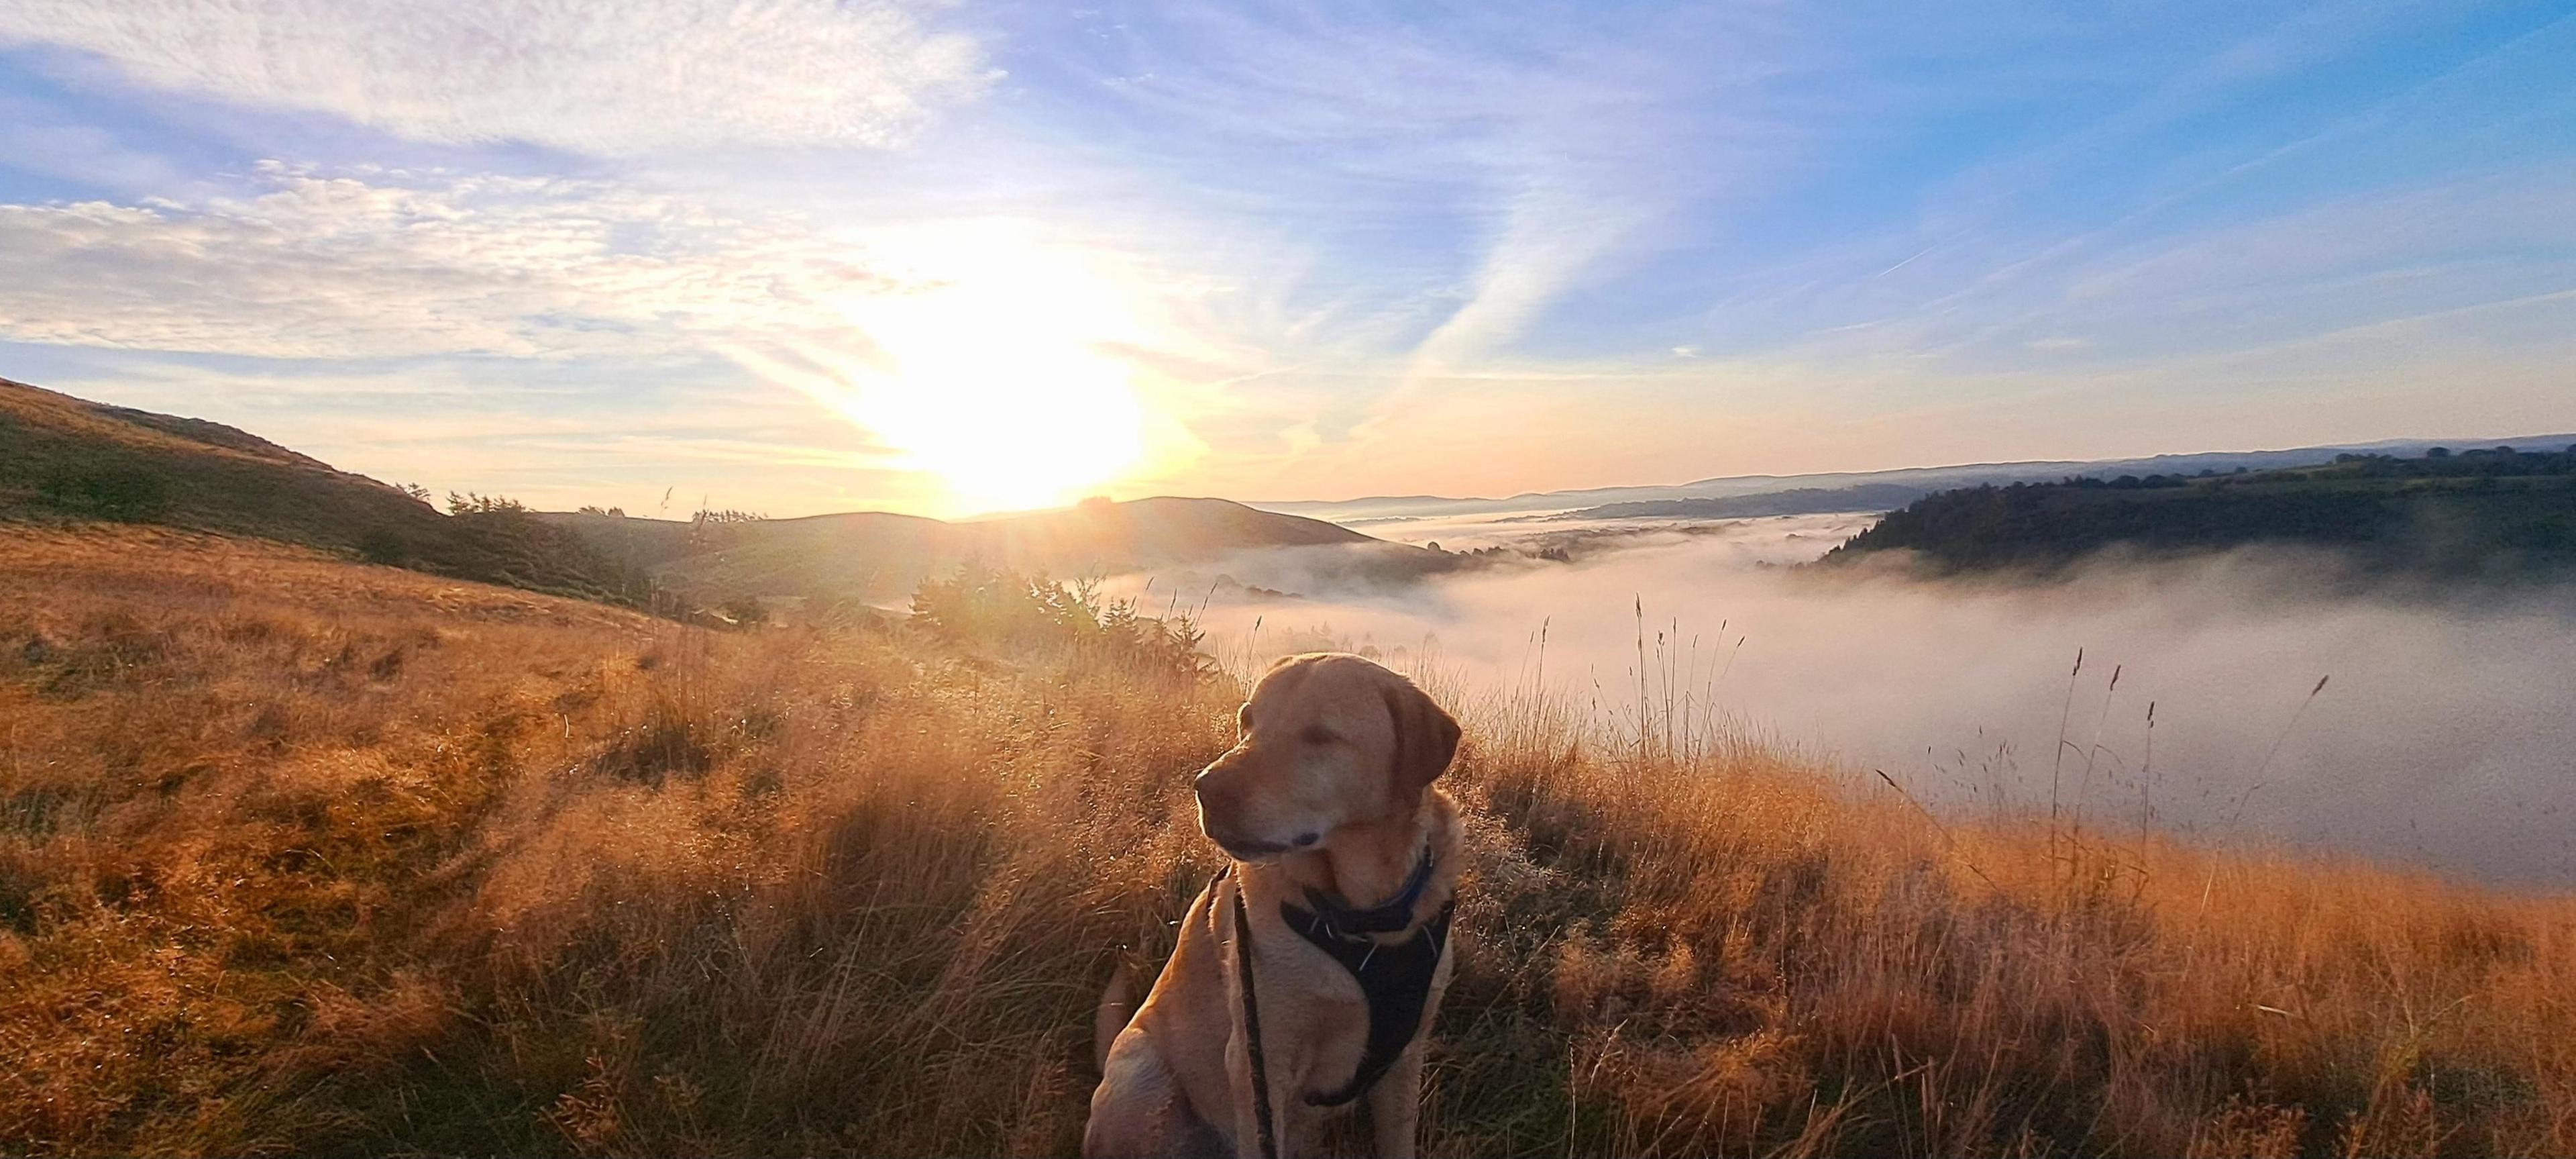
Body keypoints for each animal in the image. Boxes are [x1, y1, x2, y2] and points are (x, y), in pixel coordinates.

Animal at [1077, 651, 1463, 1159]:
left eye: (1320, 735)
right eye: (1248, 720)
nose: (1205, 788)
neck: (1363, 918)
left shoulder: (1404, 1059)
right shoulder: (1259, 1060)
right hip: (1141, 1078)